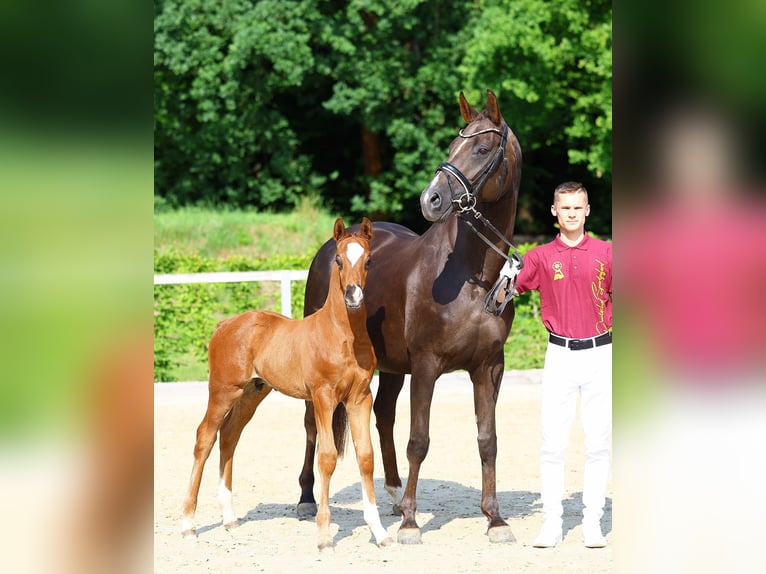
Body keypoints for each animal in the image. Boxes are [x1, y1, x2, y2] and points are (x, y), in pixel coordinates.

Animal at [180, 217, 394, 551]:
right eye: (338, 259)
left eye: (369, 260)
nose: (353, 295)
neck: (341, 335)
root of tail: (223, 324)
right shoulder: (323, 398)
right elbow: (327, 457)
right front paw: (324, 536)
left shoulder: (360, 398)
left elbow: (367, 457)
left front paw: (380, 532)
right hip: (223, 390)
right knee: (205, 437)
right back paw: (188, 524)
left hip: (252, 393)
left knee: (229, 436)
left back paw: (229, 518)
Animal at [297, 90, 523, 544]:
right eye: (452, 146)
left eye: (482, 149)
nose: (430, 199)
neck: (470, 277)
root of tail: (331, 246)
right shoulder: (426, 364)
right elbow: (419, 439)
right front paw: (410, 525)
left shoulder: (489, 367)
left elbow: (487, 439)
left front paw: (495, 519)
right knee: (314, 423)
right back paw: (308, 499)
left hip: (390, 366)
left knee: (383, 416)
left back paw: (395, 494)